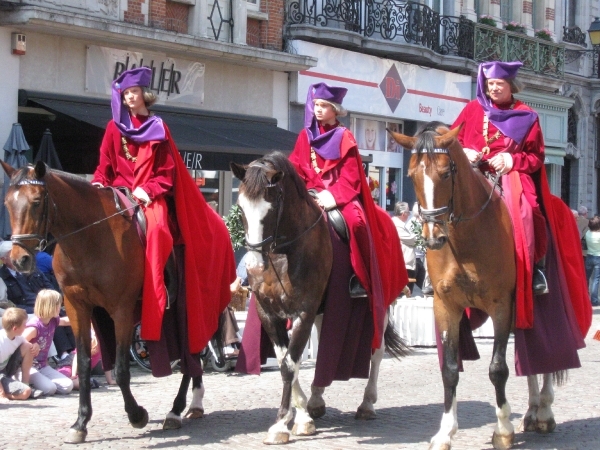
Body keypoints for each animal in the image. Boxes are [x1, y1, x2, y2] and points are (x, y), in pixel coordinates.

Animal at [1, 161, 206, 442]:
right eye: (7, 203)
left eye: (36, 201)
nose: (19, 260)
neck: (89, 239)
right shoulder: (77, 308)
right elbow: (84, 363)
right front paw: (80, 423)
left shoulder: (121, 310)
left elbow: (120, 369)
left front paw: (136, 415)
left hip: (189, 308)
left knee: (193, 354)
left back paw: (178, 409)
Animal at [230, 152, 408, 446]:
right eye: (241, 208)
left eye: (270, 208)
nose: (253, 267)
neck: (284, 251)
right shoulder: (270, 314)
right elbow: (285, 360)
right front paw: (302, 414)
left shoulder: (304, 311)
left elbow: (290, 365)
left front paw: (281, 424)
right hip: (325, 310)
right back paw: (316, 399)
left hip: (381, 306)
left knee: (377, 352)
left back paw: (367, 404)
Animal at [390, 124, 564, 450]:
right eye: (411, 175)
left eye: (446, 173)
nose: (432, 237)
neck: (466, 238)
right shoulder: (447, 307)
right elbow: (449, 371)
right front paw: (445, 432)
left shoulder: (501, 306)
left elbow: (498, 369)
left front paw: (503, 430)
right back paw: (533, 411)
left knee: (547, 354)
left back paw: (545, 411)